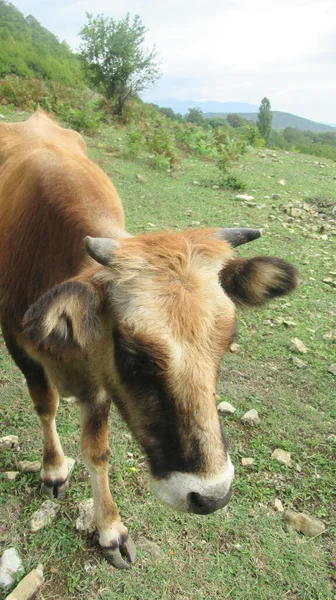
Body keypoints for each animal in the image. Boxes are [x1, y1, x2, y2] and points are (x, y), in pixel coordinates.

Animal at [0, 111, 300, 568]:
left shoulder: (97, 378)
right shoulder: (20, 344)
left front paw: (109, 528)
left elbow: (97, 449)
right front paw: (53, 469)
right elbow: (45, 406)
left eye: (226, 342)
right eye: (133, 355)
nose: (212, 495)